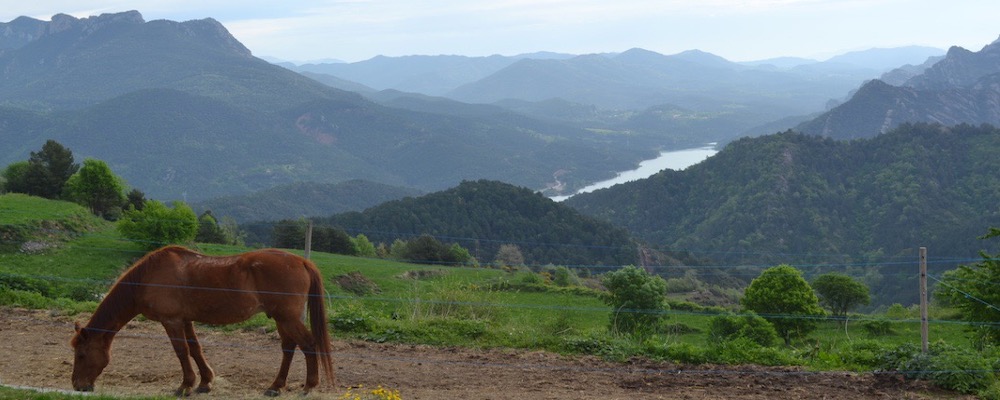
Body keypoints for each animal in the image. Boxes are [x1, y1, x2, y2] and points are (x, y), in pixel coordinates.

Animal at [71, 245, 336, 396]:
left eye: (81, 355)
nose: (77, 385)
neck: (147, 277)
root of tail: (302, 261)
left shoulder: (172, 321)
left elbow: (181, 351)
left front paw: (185, 385)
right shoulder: (186, 320)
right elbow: (195, 349)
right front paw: (205, 382)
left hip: (287, 318)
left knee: (308, 344)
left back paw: (309, 386)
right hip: (282, 318)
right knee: (289, 347)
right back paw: (276, 386)